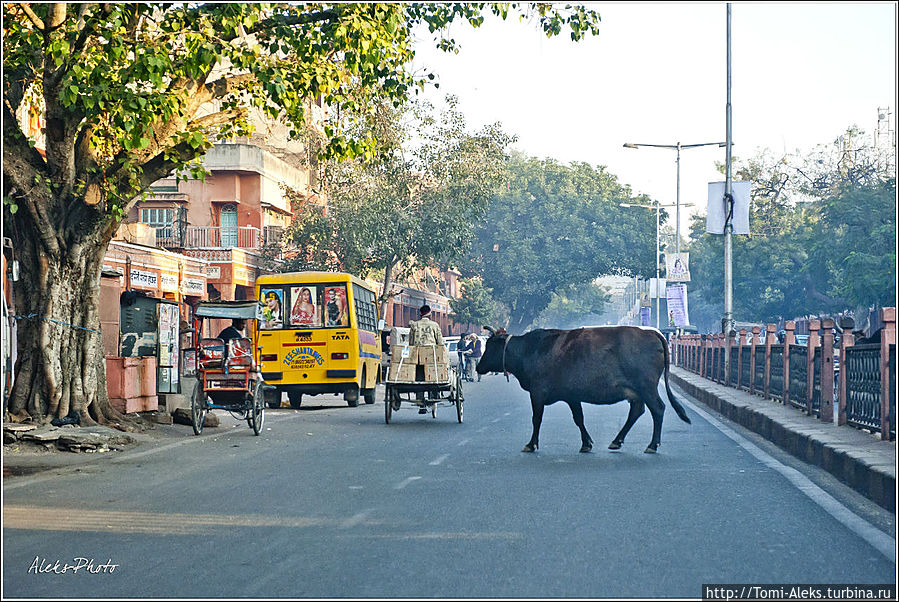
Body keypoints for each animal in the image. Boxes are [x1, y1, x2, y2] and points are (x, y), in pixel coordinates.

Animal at [478, 326, 688, 452]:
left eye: (489, 346)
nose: (478, 367)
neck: (529, 350)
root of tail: (650, 332)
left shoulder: (537, 393)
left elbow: (536, 419)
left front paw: (531, 444)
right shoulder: (572, 395)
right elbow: (579, 418)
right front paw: (586, 443)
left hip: (647, 387)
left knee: (658, 409)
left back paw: (652, 445)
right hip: (637, 392)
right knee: (637, 411)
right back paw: (617, 441)